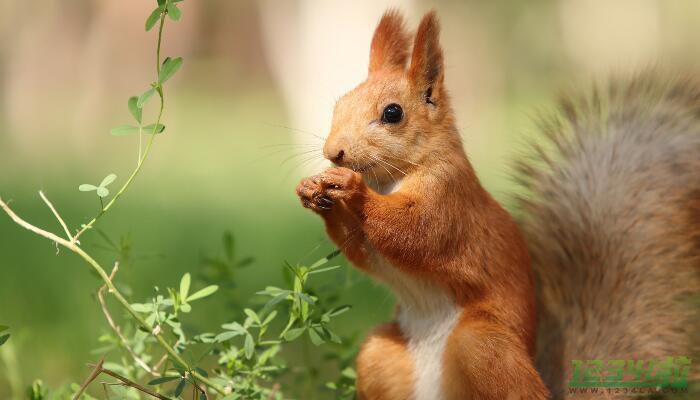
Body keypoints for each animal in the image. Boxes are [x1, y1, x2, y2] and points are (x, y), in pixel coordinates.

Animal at [296, 9, 700, 400]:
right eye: (340, 103)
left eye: (393, 113)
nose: (334, 152)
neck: (391, 179)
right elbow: (364, 251)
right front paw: (313, 191)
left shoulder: (450, 200)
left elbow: (415, 232)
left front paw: (352, 189)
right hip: (379, 355)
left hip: (483, 347)